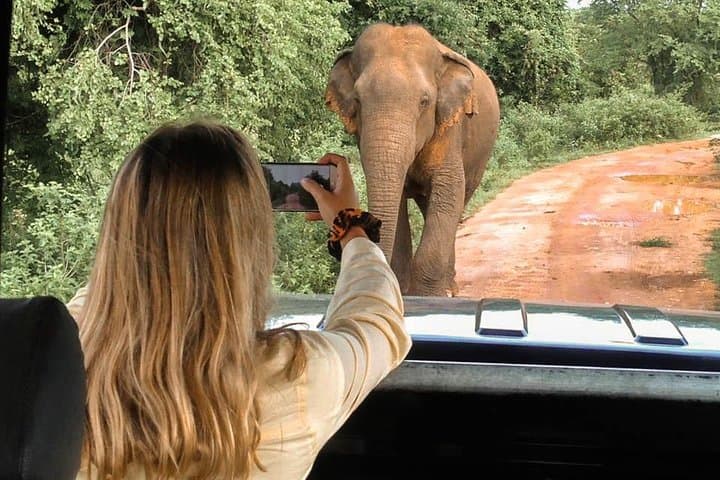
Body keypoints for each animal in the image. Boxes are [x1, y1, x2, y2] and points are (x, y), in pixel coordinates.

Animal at [325, 23, 500, 296]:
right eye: (357, 101)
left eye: (424, 102)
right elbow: (396, 202)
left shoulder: (450, 128)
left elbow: (449, 191)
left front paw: (426, 296)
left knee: (456, 203)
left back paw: (450, 289)